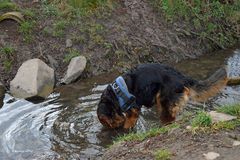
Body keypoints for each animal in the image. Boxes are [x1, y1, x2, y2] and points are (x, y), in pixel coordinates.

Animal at [96, 63, 228, 129]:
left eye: (107, 124)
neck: (114, 94)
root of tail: (181, 77)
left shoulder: (133, 110)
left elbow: (128, 123)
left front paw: (125, 131)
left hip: (165, 99)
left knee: (169, 118)